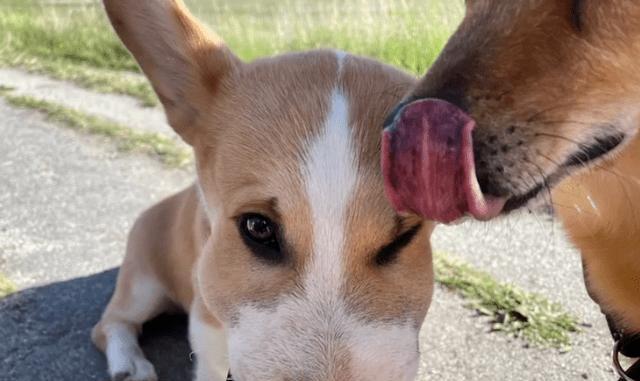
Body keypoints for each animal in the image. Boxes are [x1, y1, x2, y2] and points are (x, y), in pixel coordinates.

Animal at [94, 0, 436, 380]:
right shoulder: (207, 333)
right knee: (110, 323)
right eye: (257, 227)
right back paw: (129, 364)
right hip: (143, 286)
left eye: (403, 238)